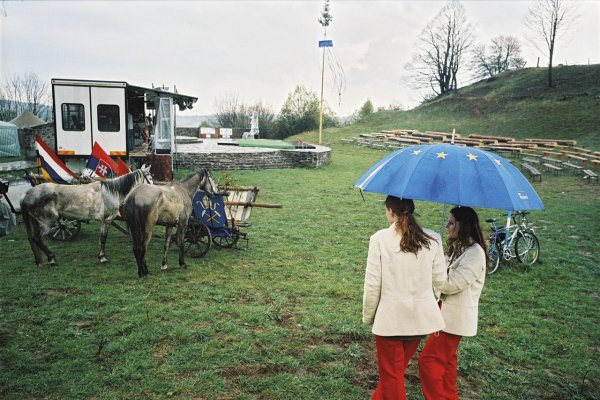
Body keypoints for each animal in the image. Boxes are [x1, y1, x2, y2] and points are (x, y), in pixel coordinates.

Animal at [20, 164, 152, 268]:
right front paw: (103, 257)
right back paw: (51, 258)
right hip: (47, 223)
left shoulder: (103, 220)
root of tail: (28, 194)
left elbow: (101, 238)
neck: (111, 192)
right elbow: (103, 238)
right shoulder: (107, 219)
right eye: (150, 178)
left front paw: (100, 256)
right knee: (37, 239)